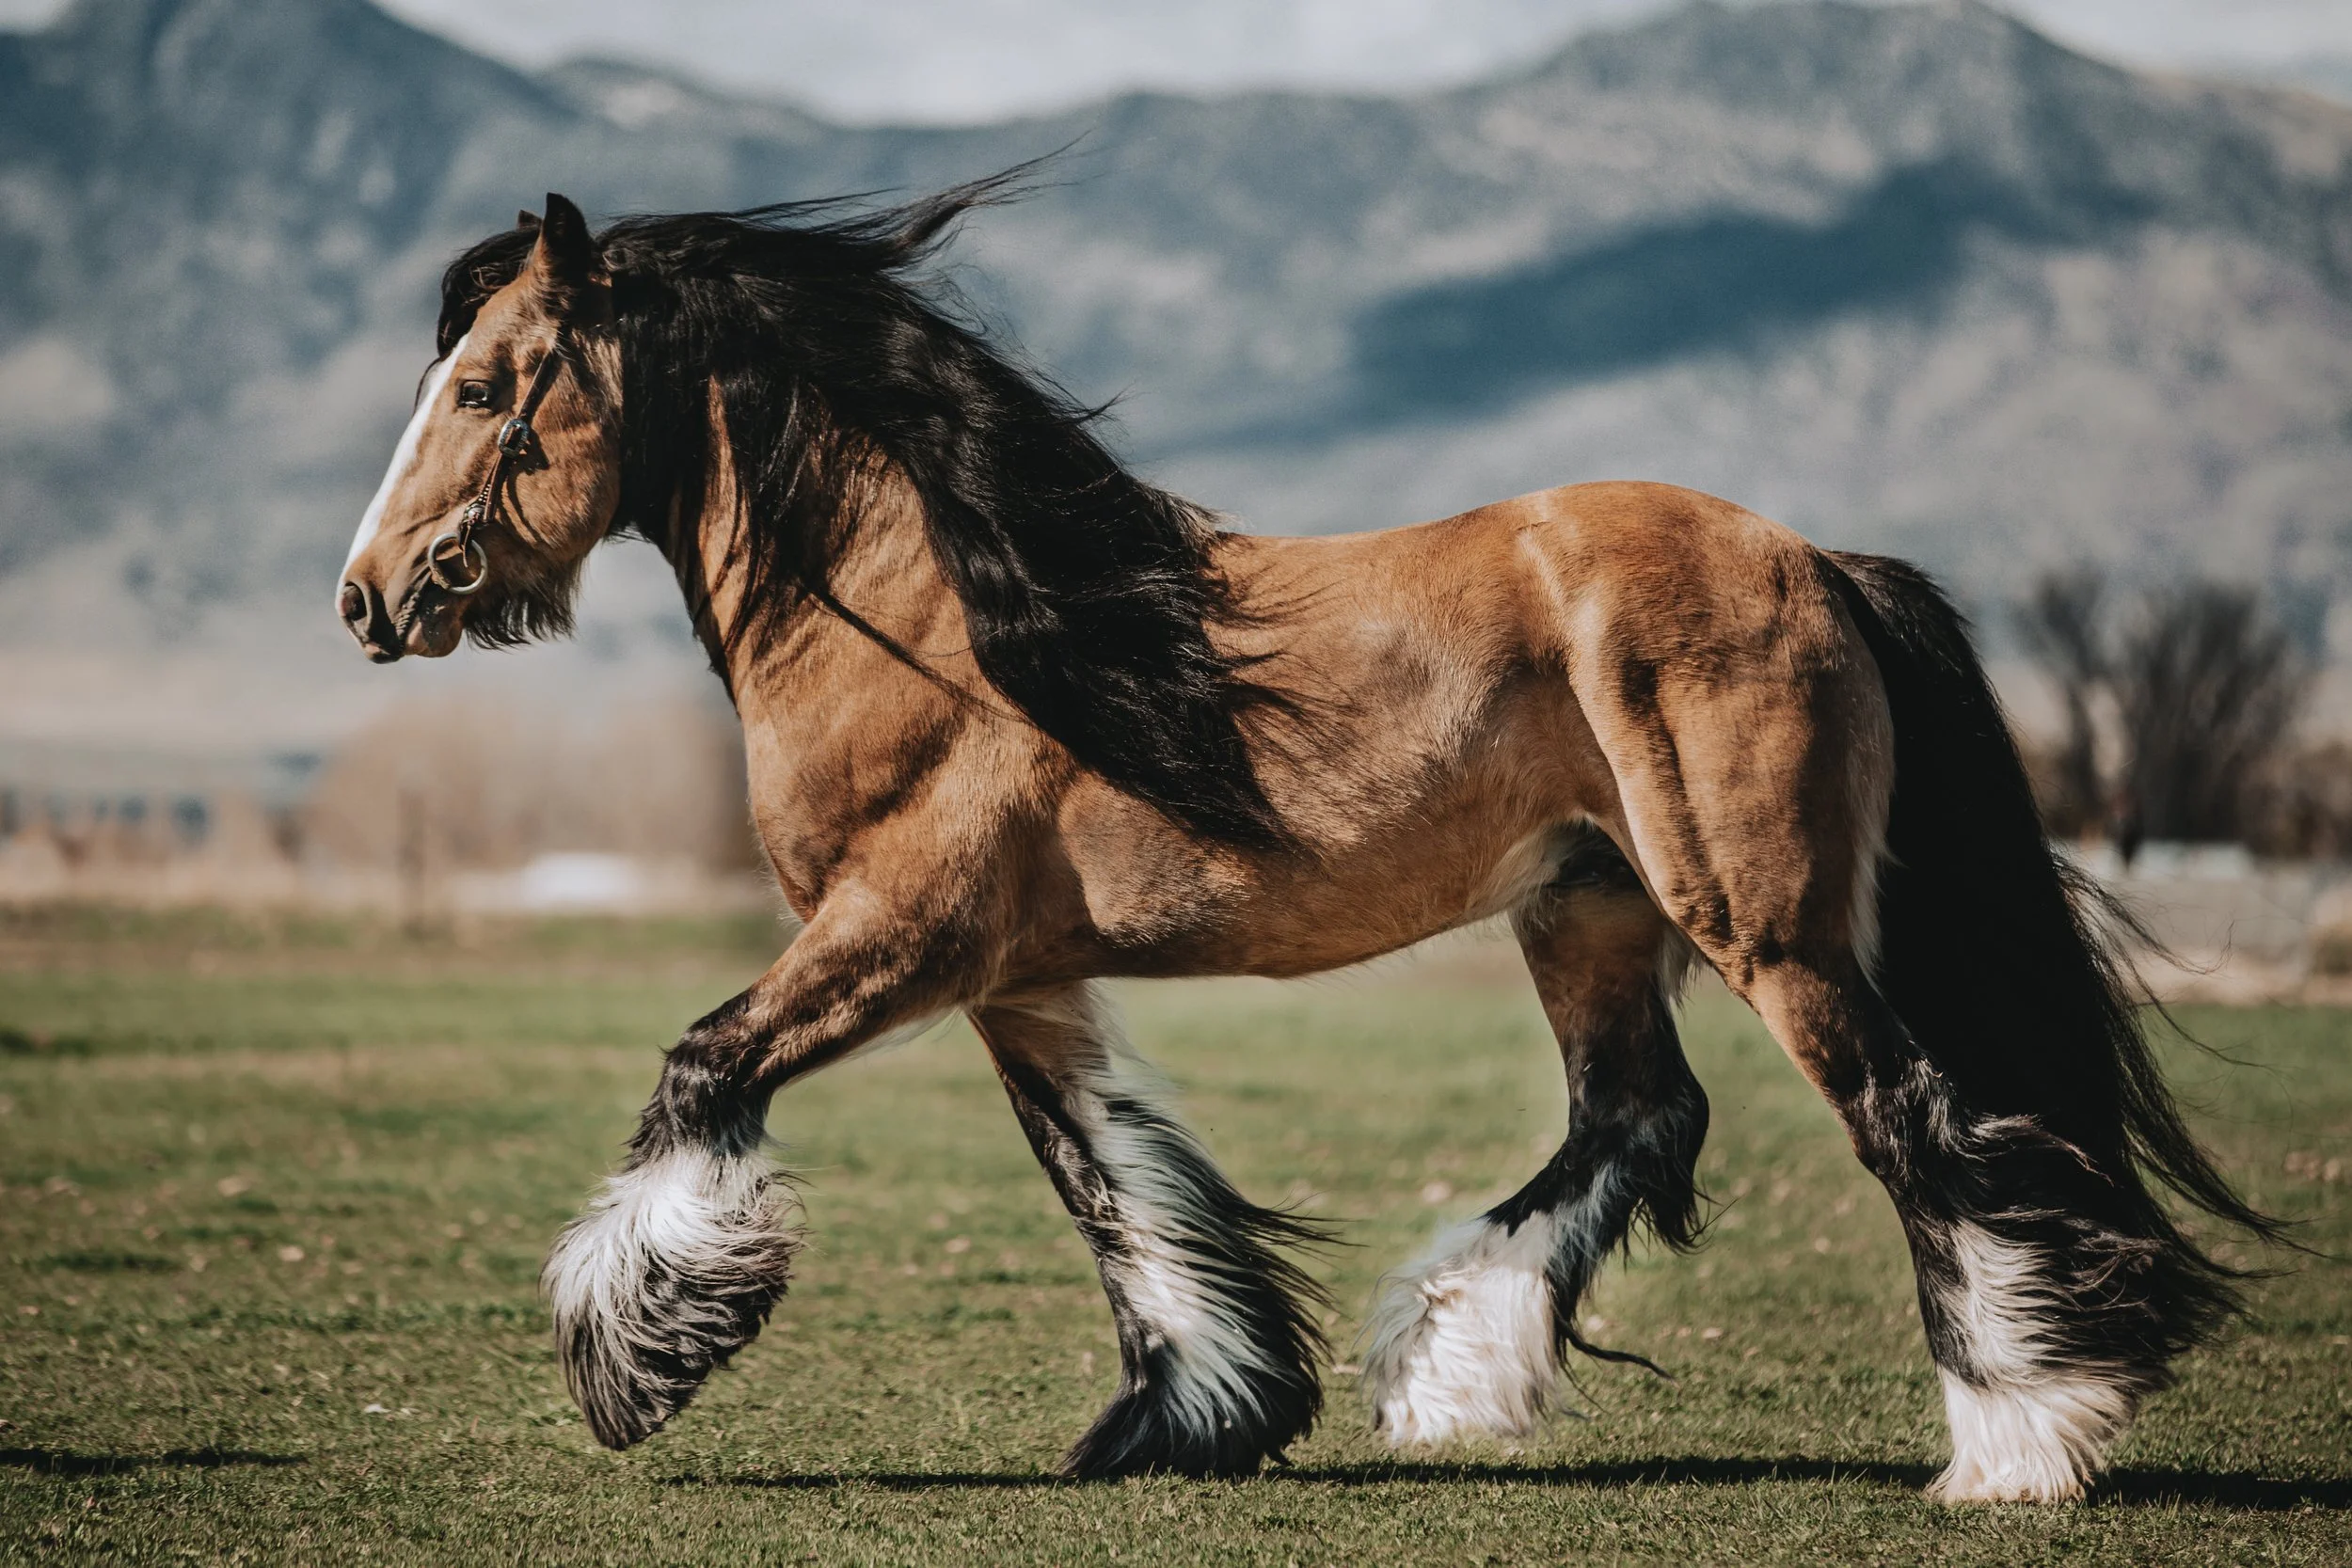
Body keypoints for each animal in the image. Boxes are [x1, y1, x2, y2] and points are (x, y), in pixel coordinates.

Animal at [335, 181, 2276, 1503]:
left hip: (1768, 924)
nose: (368, 597)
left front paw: (635, 1360)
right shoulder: (1015, 980)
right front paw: (1195, 1412)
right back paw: (1449, 1368)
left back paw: (2018, 1439)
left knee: (1907, 1116)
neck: (938, 618)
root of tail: (1816, 561)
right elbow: (1112, 1180)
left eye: (489, 387)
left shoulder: (899, 934)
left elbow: (701, 1070)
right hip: (1589, 910)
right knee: (1637, 1114)